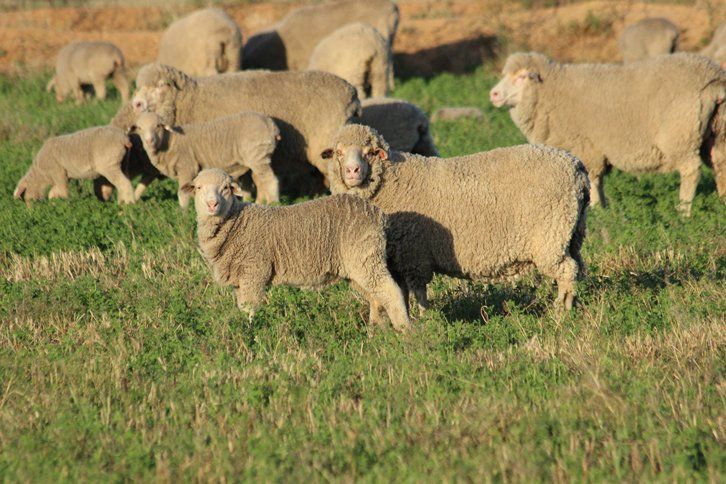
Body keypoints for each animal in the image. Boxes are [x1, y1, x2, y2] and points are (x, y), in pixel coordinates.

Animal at [129, 111, 280, 207]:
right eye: (139, 128)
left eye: (158, 126)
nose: (149, 141)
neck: (169, 141)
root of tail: (270, 124)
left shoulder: (187, 167)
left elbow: (182, 194)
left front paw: (183, 212)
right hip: (257, 157)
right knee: (260, 180)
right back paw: (259, 203)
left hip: (257, 155)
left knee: (270, 180)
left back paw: (274, 202)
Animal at [184, 168, 411, 331]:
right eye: (199, 188)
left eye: (226, 188)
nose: (212, 204)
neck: (236, 222)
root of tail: (378, 214)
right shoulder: (241, 280)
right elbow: (242, 307)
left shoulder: (254, 271)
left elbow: (250, 308)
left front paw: (250, 333)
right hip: (357, 265)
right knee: (376, 297)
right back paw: (377, 331)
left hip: (365, 257)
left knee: (390, 291)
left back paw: (404, 331)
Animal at [324, 124, 590, 312]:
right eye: (338, 152)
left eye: (370, 152)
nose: (352, 171)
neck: (391, 181)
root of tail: (575, 165)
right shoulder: (397, 257)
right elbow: (399, 294)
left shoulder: (414, 253)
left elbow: (418, 292)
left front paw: (425, 319)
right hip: (573, 234)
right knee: (577, 269)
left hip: (550, 236)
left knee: (567, 271)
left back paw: (561, 312)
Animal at [490, 52, 726, 215]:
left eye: (521, 77)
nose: (493, 94)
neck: (551, 91)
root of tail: (713, 77)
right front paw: (603, 210)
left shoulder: (585, 147)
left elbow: (592, 180)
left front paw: (594, 210)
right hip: (717, 132)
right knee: (720, 164)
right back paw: (722, 202)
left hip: (680, 134)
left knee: (691, 170)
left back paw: (683, 211)